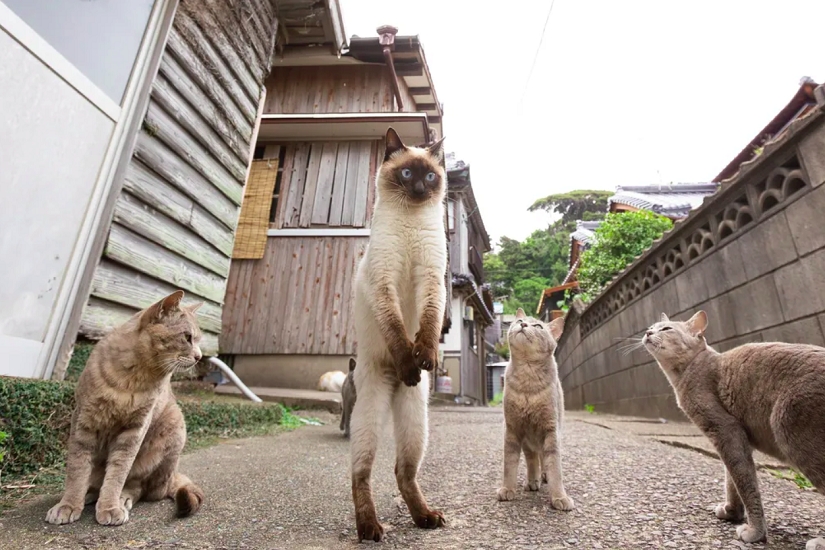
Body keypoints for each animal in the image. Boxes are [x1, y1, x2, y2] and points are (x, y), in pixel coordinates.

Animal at [46, 292, 204, 528]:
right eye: (187, 337)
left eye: (197, 340)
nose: (200, 356)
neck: (133, 379)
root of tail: (172, 476)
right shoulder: (83, 422)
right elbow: (77, 470)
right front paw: (69, 504)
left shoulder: (134, 430)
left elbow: (118, 473)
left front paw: (110, 506)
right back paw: (90, 494)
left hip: (173, 431)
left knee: (141, 488)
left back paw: (122, 498)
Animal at [644, 312, 824, 548]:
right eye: (651, 327)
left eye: (666, 329)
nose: (648, 332)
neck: (687, 371)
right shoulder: (737, 436)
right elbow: (732, 478)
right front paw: (731, 512)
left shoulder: (725, 428)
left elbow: (744, 481)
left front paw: (755, 532)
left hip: (792, 431)